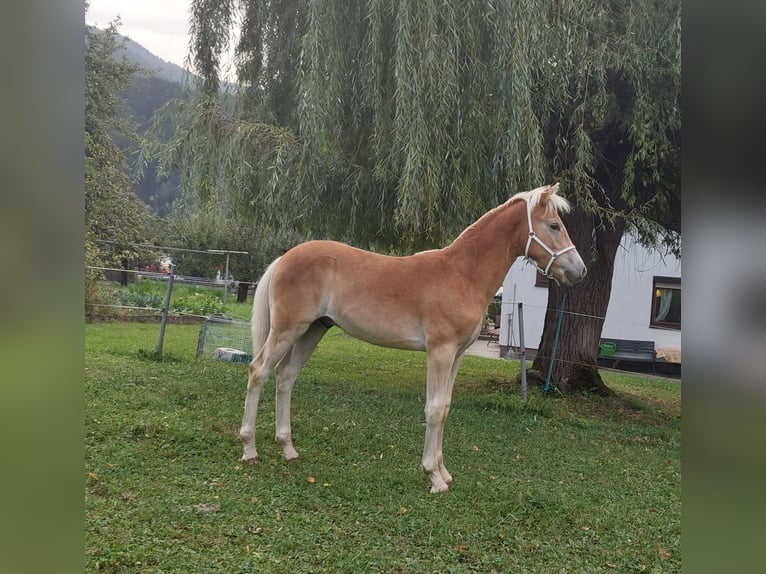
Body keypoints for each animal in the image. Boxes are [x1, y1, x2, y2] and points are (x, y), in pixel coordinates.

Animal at [240, 184, 588, 496]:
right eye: (554, 225)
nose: (580, 271)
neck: (461, 274)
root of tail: (284, 258)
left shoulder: (457, 355)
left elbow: (445, 407)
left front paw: (444, 473)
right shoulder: (440, 351)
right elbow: (433, 409)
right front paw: (433, 477)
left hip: (313, 330)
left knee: (285, 377)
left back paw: (288, 448)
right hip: (288, 329)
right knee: (259, 372)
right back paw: (249, 449)